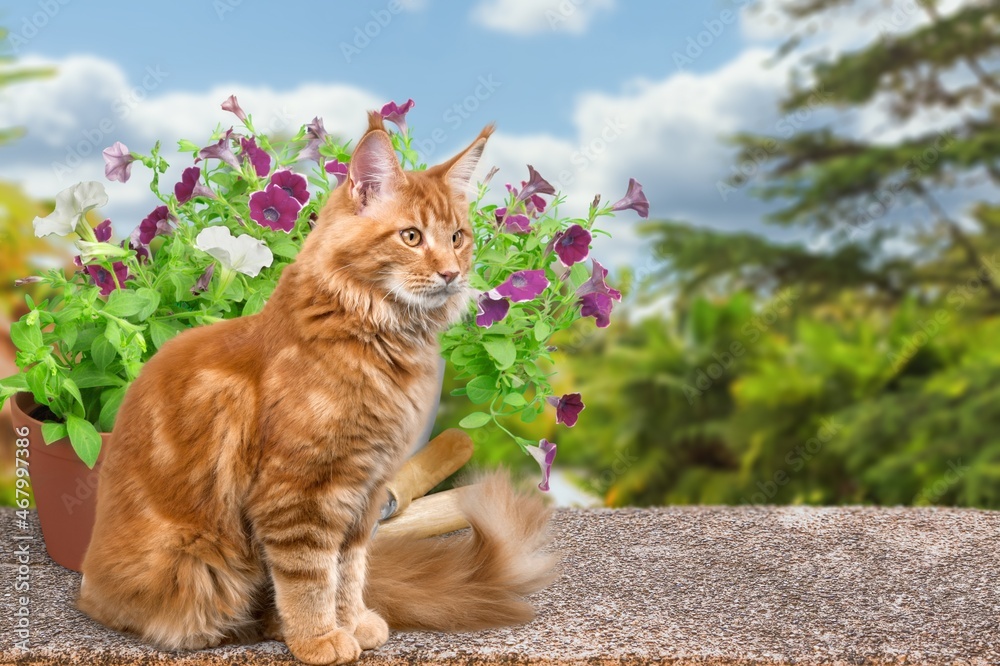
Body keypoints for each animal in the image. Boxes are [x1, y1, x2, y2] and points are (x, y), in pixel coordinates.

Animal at [80, 115, 556, 664]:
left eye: (457, 237)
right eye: (412, 237)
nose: (451, 273)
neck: (376, 337)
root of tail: (88, 589)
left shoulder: (364, 491)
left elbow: (349, 571)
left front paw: (352, 623)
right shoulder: (299, 494)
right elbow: (309, 578)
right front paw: (319, 638)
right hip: (199, 563)